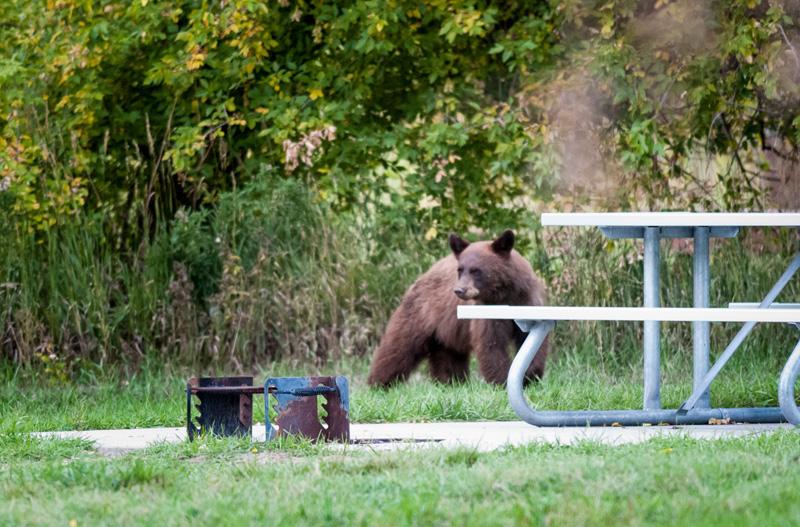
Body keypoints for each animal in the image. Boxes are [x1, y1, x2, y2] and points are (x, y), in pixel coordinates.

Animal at [367, 229, 549, 386]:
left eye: (476, 270)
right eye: (460, 270)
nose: (459, 290)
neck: (504, 294)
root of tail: (425, 273)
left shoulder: (527, 300)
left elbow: (531, 338)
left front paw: (530, 376)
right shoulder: (488, 311)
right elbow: (492, 343)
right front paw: (503, 380)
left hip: (448, 329)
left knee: (448, 354)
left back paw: (450, 381)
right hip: (421, 313)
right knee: (399, 346)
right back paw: (379, 383)